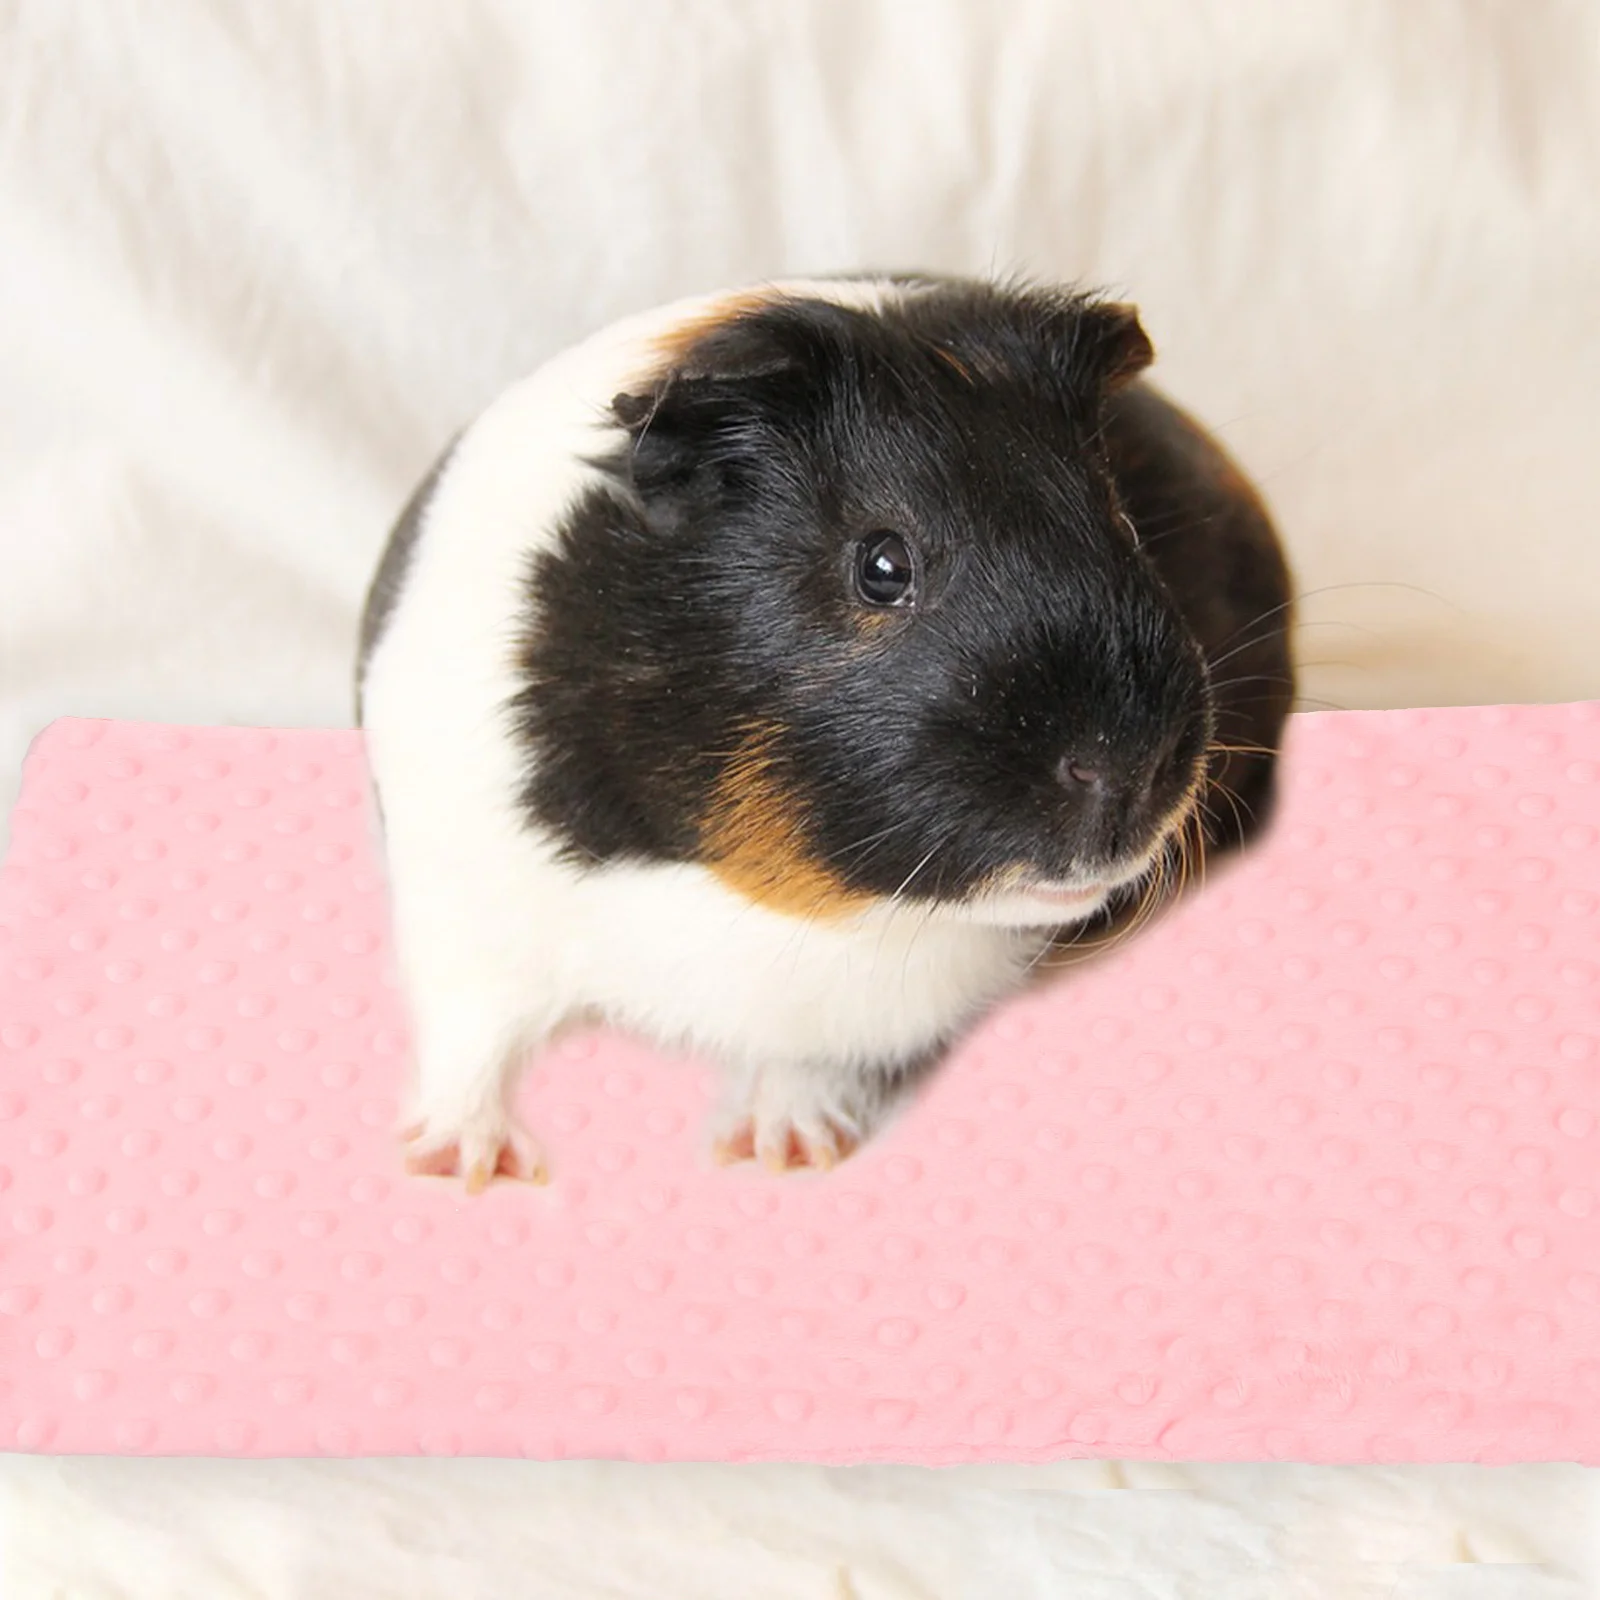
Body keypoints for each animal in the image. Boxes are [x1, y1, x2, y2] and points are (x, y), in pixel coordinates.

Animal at [356, 273, 1294, 1187]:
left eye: (1123, 525)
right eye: (882, 564)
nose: (1129, 766)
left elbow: (812, 1056)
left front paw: (780, 1149)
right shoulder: (461, 899)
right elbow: (469, 1036)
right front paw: (456, 1164)